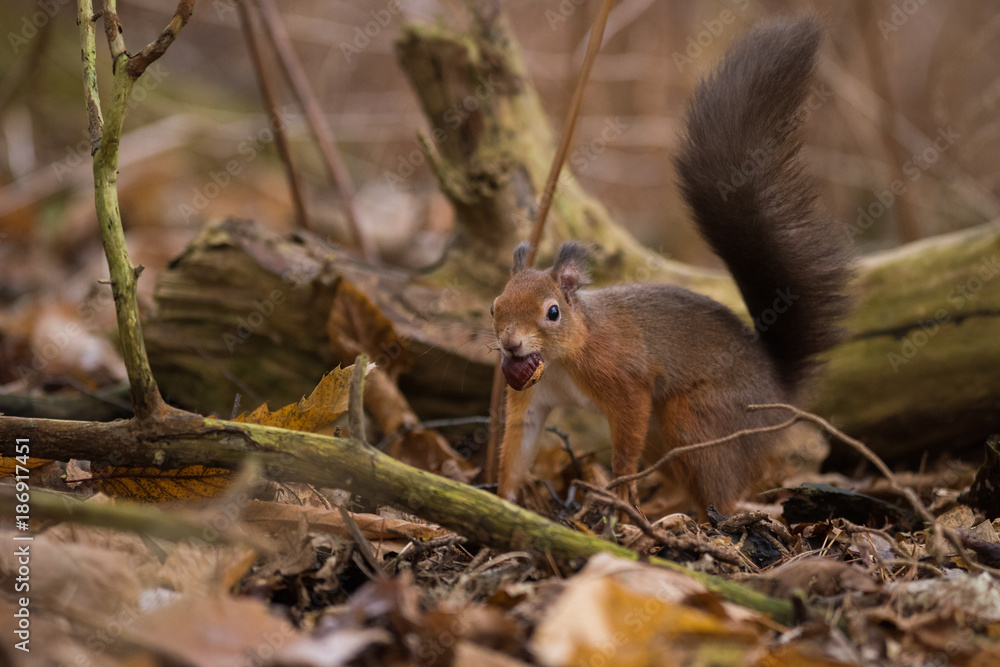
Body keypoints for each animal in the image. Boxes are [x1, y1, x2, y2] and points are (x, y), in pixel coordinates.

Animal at [490, 17, 853, 513]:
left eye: (553, 311)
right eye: (494, 306)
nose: (511, 345)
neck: (565, 358)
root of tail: (778, 393)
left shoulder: (625, 379)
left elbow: (626, 436)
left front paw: (620, 494)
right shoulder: (533, 394)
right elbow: (519, 443)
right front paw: (503, 498)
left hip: (694, 418)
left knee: (723, 490)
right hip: (667, 433)